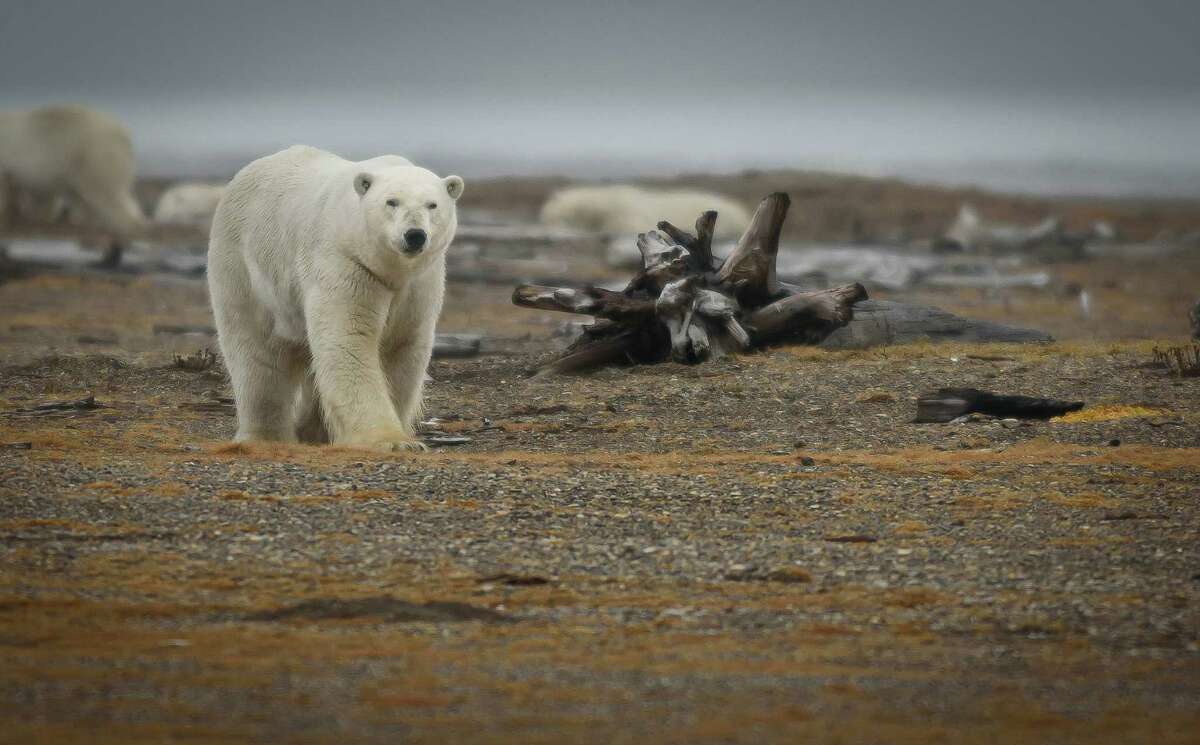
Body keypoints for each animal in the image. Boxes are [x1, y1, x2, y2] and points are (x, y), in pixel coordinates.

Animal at [208, 143, 460, 446]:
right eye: (392, 202)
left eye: (432, 205)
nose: (414, 235)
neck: (390, 270)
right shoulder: (346, 262)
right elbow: (348, 339)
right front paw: (391, 440)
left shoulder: (419, 283)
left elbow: (403, 345)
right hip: (242, 265)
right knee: (256, 352)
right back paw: (266, 436)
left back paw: (313, 431)